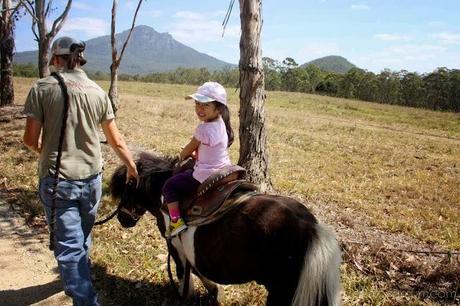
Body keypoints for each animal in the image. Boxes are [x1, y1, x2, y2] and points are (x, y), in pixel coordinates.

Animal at [108, 152, 342, 304]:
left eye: (127, 188)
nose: (122, 219)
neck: (163, 192)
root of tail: (310, 227)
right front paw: (215, 293)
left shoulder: (175, 247)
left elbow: (185, 274)